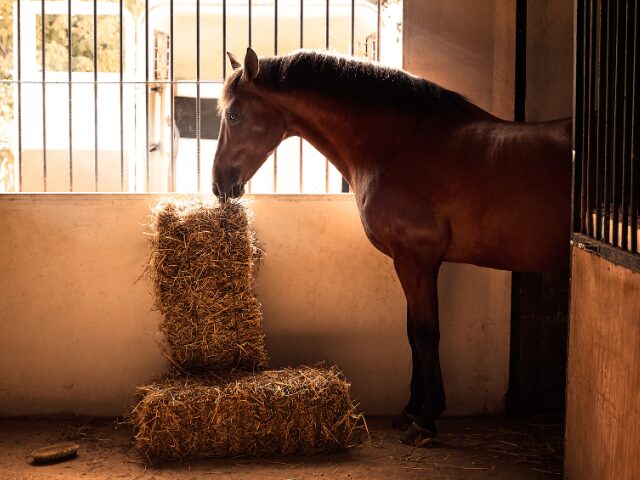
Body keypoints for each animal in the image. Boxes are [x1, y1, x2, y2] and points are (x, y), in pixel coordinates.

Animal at [212, 47, 572, 442]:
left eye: (234, 114)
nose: (218, 184)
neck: (398, 147)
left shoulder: (416, 259)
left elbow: (426, 333)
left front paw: (426, 419)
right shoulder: (409, 260)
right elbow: (412, 333)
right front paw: (410, 410)